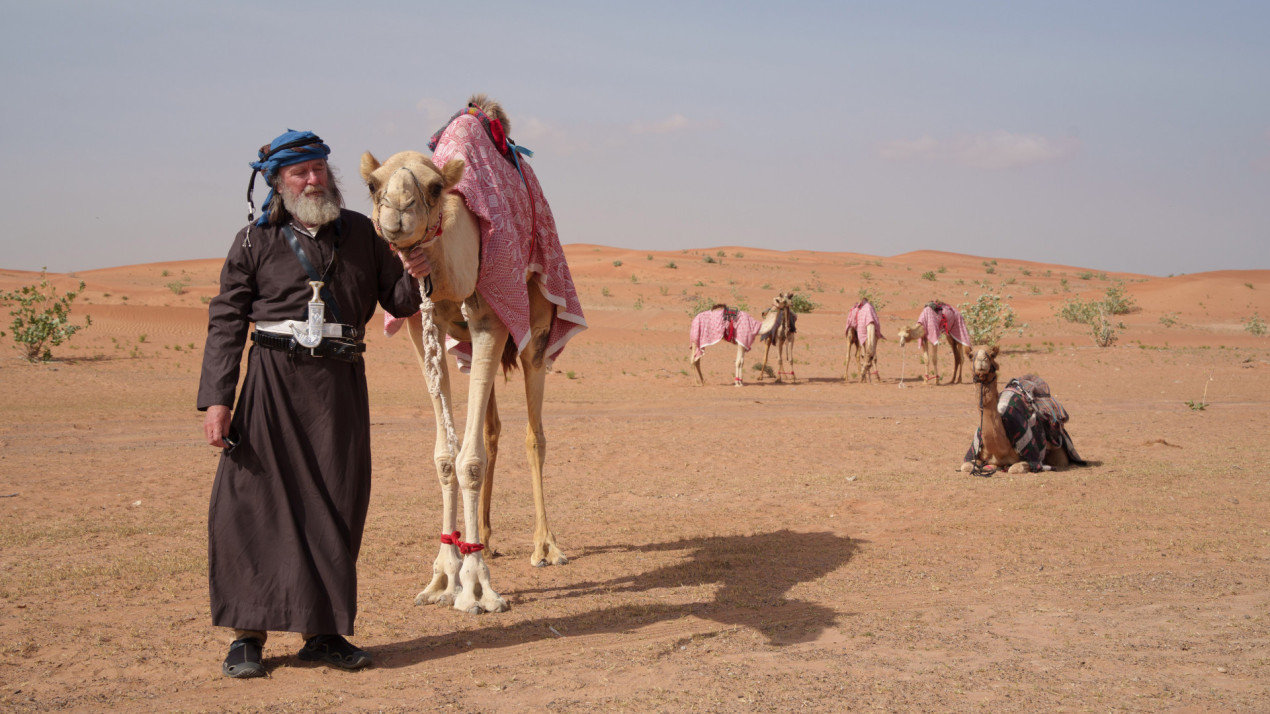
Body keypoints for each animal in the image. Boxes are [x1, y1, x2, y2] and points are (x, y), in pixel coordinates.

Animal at [363, 94, 584, 612]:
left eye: (433, 186)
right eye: (373, 184)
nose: (397, 213)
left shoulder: (492, 320)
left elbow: (470, 461)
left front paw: (477, 586)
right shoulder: (420, 326)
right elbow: (448, 457)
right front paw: (445, 574)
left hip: (536, 335)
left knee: (533, 435)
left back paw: (545, 546)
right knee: (491, 430)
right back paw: (483, 534)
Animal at [955, 345, 1087, 472]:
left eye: (992, 355)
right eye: (971, 355)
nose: (982, 360)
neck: (999, 449)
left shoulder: (1032, 458)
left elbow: (1015, 468)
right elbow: (965, 466)